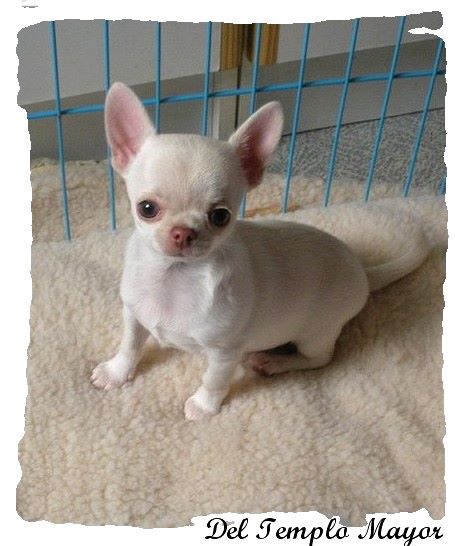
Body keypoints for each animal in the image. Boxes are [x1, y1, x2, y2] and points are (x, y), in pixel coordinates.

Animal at [91, 82, 429, 420]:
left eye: (221, 216)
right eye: (146, 209)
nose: (183, 232)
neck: (174, 278)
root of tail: (363, 272)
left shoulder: (225, 352)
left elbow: (213, 380)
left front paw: (203, 406)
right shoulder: (133, 314)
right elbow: (130, 345)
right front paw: (116, 373)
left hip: (315, 332)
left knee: (321, 359)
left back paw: (274, 361)